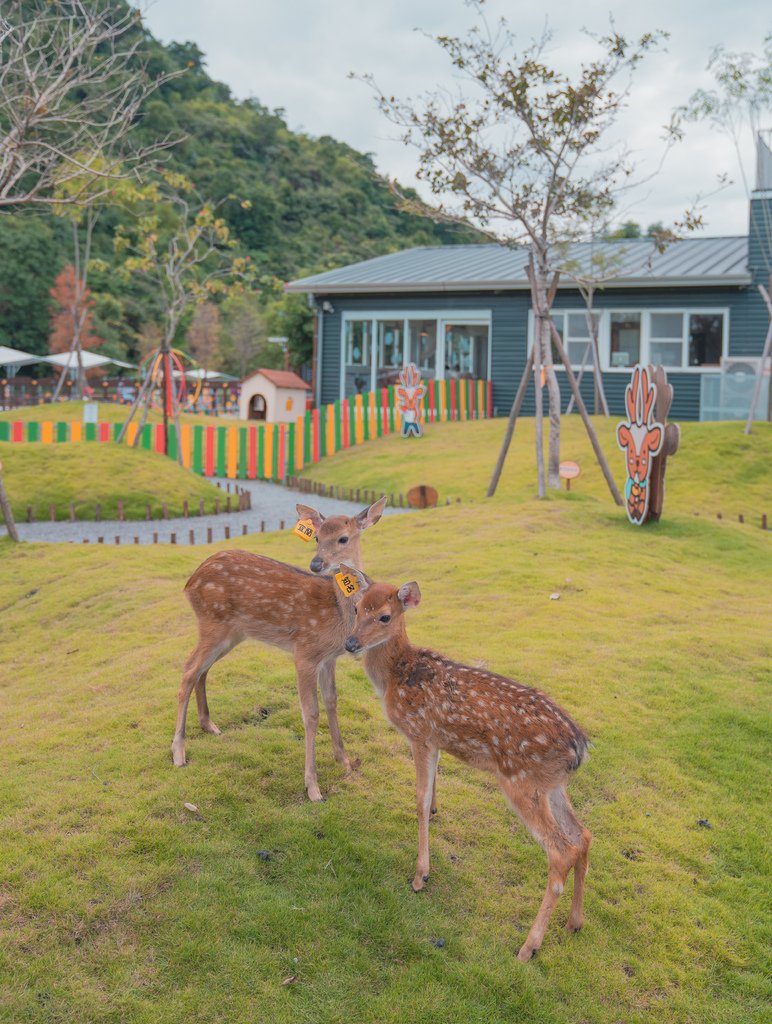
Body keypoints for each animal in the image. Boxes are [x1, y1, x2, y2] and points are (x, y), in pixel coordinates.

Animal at [169, 495, 382, 798]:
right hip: (212, 622)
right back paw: (179, 752)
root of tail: (189, 583)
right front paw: (313, 786)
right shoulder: (305, 651)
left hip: (231, 634)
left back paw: (209, 725)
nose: (316, 564)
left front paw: (344, 760)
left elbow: (332, 701)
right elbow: (311, 713)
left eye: (343, 538)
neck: (340, 614)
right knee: (188, 670)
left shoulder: (328, 658)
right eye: (317, 537)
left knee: (201, 670)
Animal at [341, 569, 589, 958]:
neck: (396, 675)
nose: (351, 644)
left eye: (385, 616)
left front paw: (421, 875)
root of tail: (580, 747)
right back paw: (575, 922)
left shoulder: (421, 734)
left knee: (561, 851)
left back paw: (528, 946)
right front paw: (436, 816)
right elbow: (432, 792)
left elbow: (419, 799)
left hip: (522, 781)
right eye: (356, 607)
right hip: (552, 784)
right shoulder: (438, 742)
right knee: (582, 836)